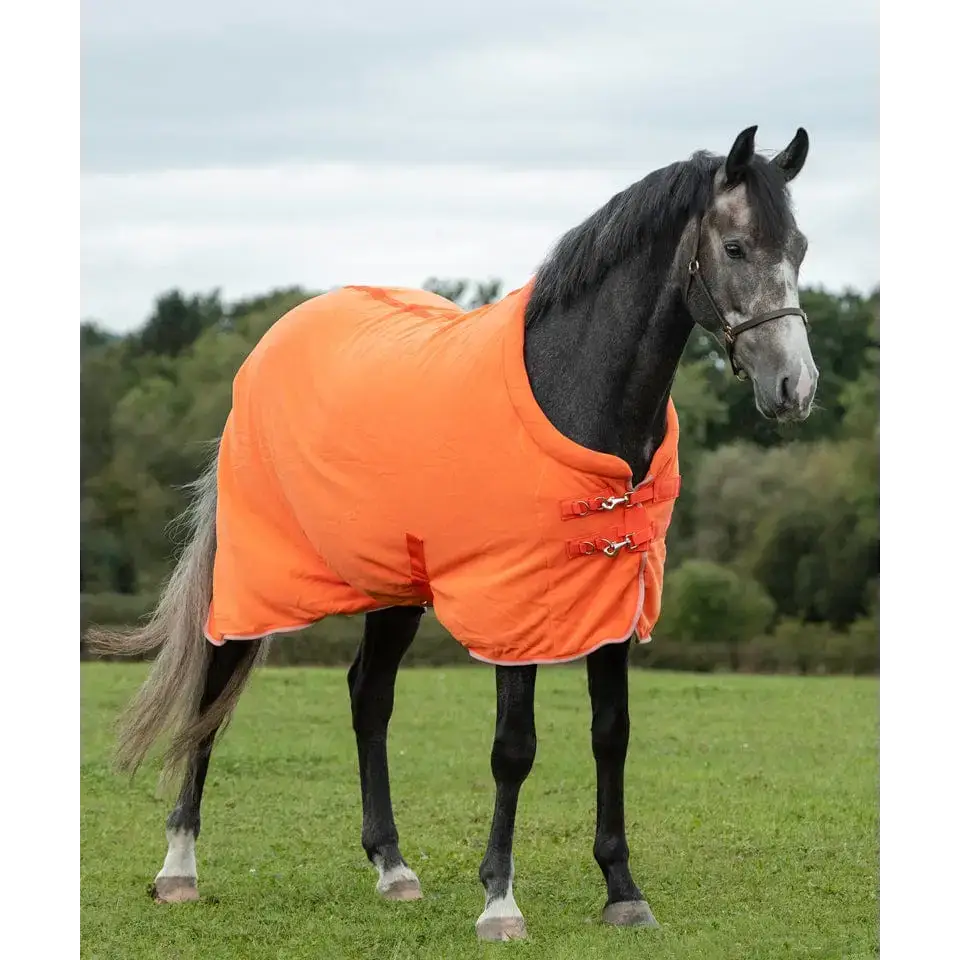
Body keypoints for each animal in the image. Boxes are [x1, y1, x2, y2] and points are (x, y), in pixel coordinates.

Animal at [90, 125, 819, 942]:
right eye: (735, 246)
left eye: (799, 247)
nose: (795, 388)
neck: (573, 391)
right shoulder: (514, 605)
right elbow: (514, 747)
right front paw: (500, 901)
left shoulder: (612, 596)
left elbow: (611, 733)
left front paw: (623, 890)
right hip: (254, 575)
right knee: (213, 691)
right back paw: (178, 867)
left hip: (394, 586)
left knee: (368, 697)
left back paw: (392, 867)